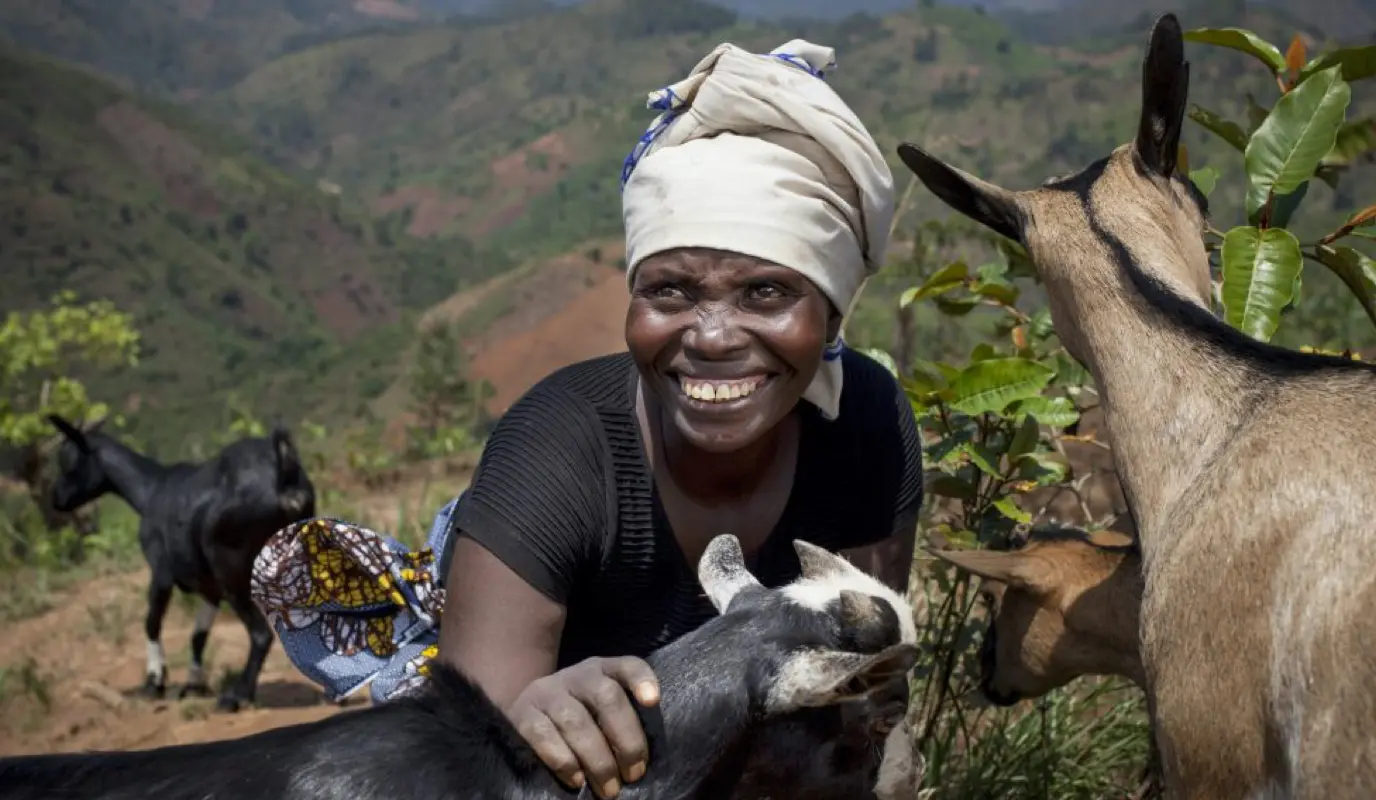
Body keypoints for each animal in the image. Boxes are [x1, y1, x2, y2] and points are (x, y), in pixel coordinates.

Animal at [47, 415, 315, 710]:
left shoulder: (161, 573)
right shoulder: (209, 588)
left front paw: (154, 683)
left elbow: (152, 622)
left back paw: (236, 696)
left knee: (261, 634)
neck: (151, 490)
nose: (56, 499)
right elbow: (198, 636)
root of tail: (283, 475)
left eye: (69, 462)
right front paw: (193, 685)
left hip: (234, 569)